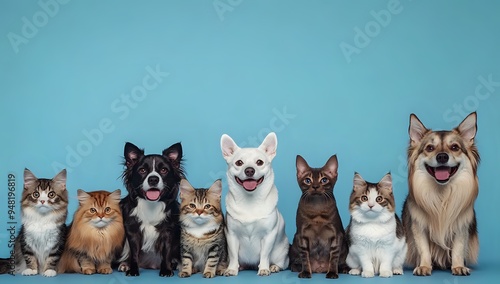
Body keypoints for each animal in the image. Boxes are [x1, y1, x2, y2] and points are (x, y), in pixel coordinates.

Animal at [118, 141, 185, 276]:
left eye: (164, 170)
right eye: (142, 170)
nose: (153, 179)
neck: (151, 204)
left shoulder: (168, 231)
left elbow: (166, 251)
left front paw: (166, 270)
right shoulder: (133, 231)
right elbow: (134, 252)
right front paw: (133, 269)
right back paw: (125, 264)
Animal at [222, 133, 290, 276]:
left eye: (259, 162)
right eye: (239, 163)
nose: (249, 170)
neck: (250, 201)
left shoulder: (269, 235)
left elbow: (264, 254)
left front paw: (264, 268)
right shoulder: (231, 235)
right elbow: (233, 255)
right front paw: (232, 269)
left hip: (282, 253)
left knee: (282, 264)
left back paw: (274, 267)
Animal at [400, 112, 478, 276]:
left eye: (455, 147)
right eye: (430, 148)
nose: (442, 156)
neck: (442, 193)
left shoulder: (461, 227)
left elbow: (458, 248)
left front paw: (458, 267)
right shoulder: (419, 227)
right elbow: (424, 249)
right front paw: (424, 266)